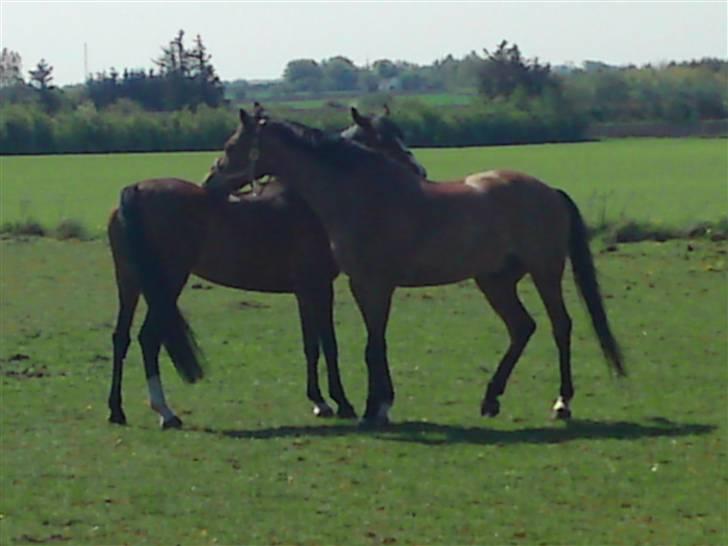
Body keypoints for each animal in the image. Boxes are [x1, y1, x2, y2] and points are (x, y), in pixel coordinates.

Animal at [106, 108, 424, 428]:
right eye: (384, 141)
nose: (419, 173)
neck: (307, 200)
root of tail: (136, 190)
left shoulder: (304, 290)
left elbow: (311, 344)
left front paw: (320, 401)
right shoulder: (319, 286)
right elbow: (329, 344)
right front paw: (342, 403)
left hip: (129, 282)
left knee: (122, 337)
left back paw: (117, 410)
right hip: (168, 283)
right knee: (149, 339)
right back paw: (165, 412)